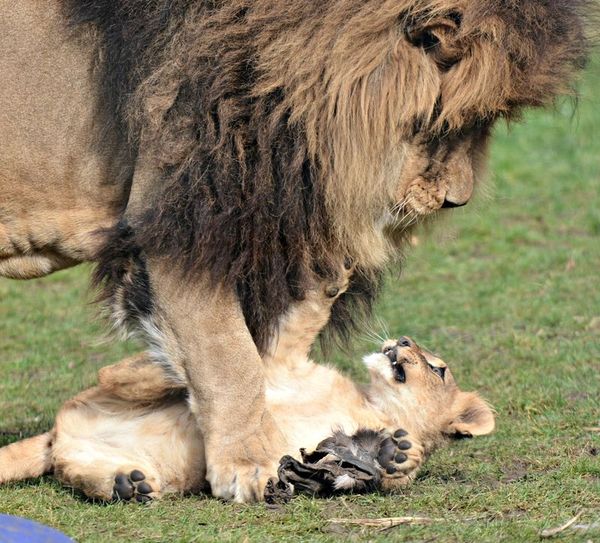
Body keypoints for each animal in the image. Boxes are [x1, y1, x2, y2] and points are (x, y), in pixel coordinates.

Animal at [0, 0, 588, 504]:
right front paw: (251, 468)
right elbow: (232, 357)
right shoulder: (180, 224)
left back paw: (126, 476)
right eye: (448, 121)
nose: (457, 200)